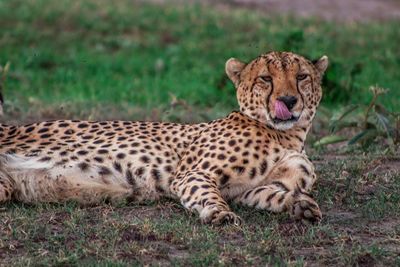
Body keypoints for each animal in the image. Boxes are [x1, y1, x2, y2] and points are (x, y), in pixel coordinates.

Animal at [0, 51, 328, 226]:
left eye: (301, 77)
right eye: (265, 79)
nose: (288, 101)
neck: (286, 136)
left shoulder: (247, 191)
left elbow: (274, 194)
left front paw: (299, 206)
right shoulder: (192, 174)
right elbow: (208, 194)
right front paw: (220, 214)